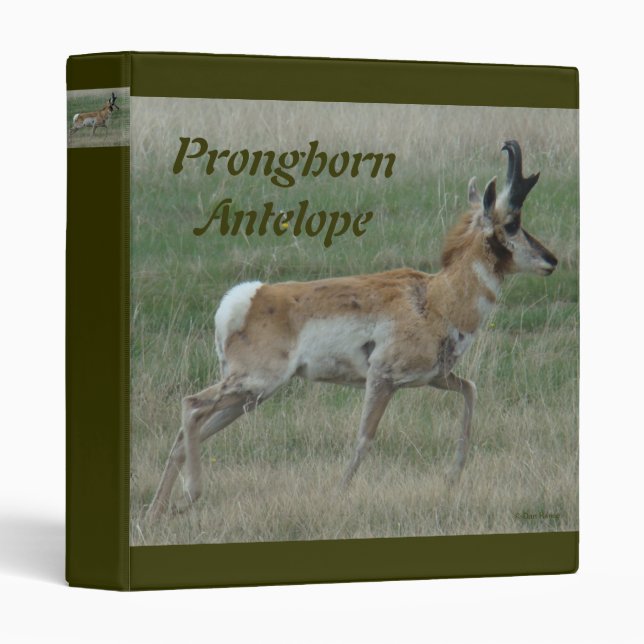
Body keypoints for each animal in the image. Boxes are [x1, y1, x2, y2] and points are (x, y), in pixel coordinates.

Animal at [146, 140, 558, 520]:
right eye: (513, 223)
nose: (551, 260)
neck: (436, 298)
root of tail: (248, 298)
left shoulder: (433, 377)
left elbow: (470, 390)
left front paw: (452, 477)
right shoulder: (382, 377)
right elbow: (364, 438)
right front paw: (337, 492)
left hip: (251, 396)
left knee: (186, 433)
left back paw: (158, 511)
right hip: (255, 384)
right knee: (191, 406)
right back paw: (189, 495)